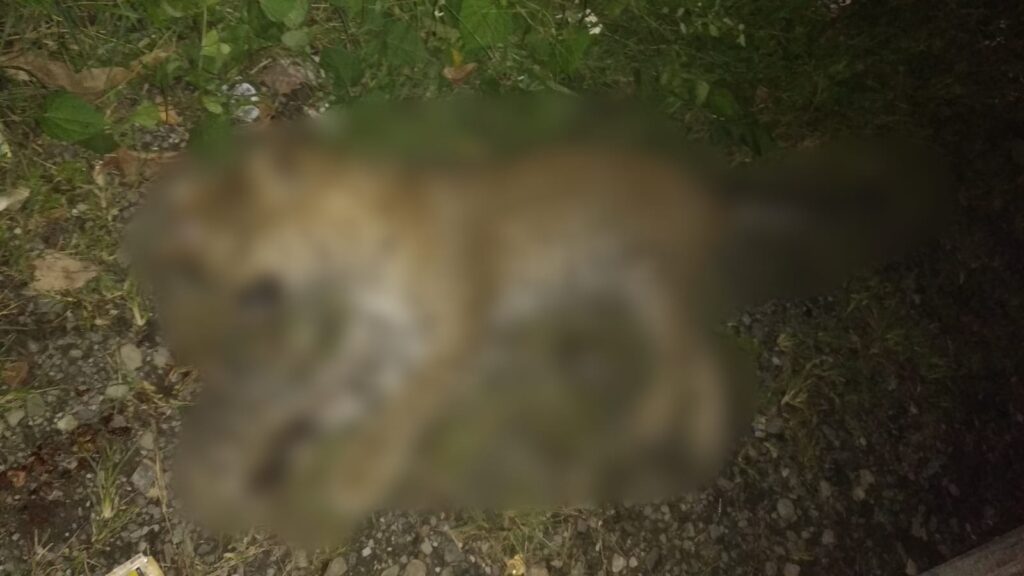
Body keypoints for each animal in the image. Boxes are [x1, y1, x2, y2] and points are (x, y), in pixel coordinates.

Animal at [128, 97, 949, 541]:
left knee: (692, 358)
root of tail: (709, 191)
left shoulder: (446, 342)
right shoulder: (376, 345)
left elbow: (394, 418)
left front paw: (355, 476)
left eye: (235, 249)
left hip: (654, 281)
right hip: (631, 285)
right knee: (692, 357)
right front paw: (268, 448)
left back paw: (655, 428)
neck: (358, 263)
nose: (206, 327)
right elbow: (320, 395)